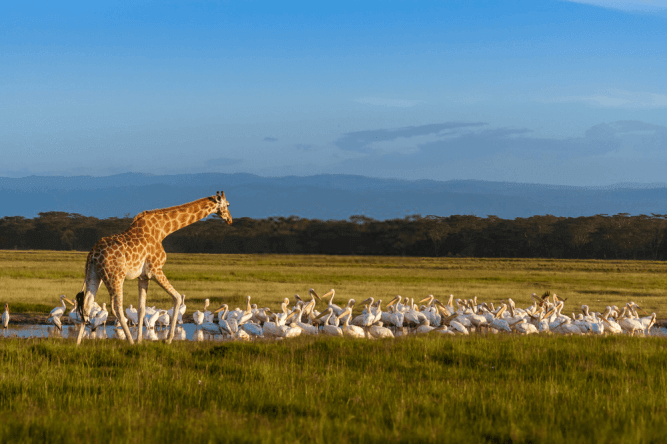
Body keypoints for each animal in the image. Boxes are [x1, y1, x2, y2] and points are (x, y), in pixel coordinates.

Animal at [74, 191, 232, 345]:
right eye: (228, 204)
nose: (230, 219)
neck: (163, 230)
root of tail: (93, 253)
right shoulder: (155, 270)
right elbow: (177, 298)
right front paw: (168, 339)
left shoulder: (143, 276)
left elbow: (141, 309)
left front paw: (140, 341)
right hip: (115, 277)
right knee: (116, 308)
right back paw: (129, 341)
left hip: (94, 275)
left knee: (87, 306)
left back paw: (78, 343)